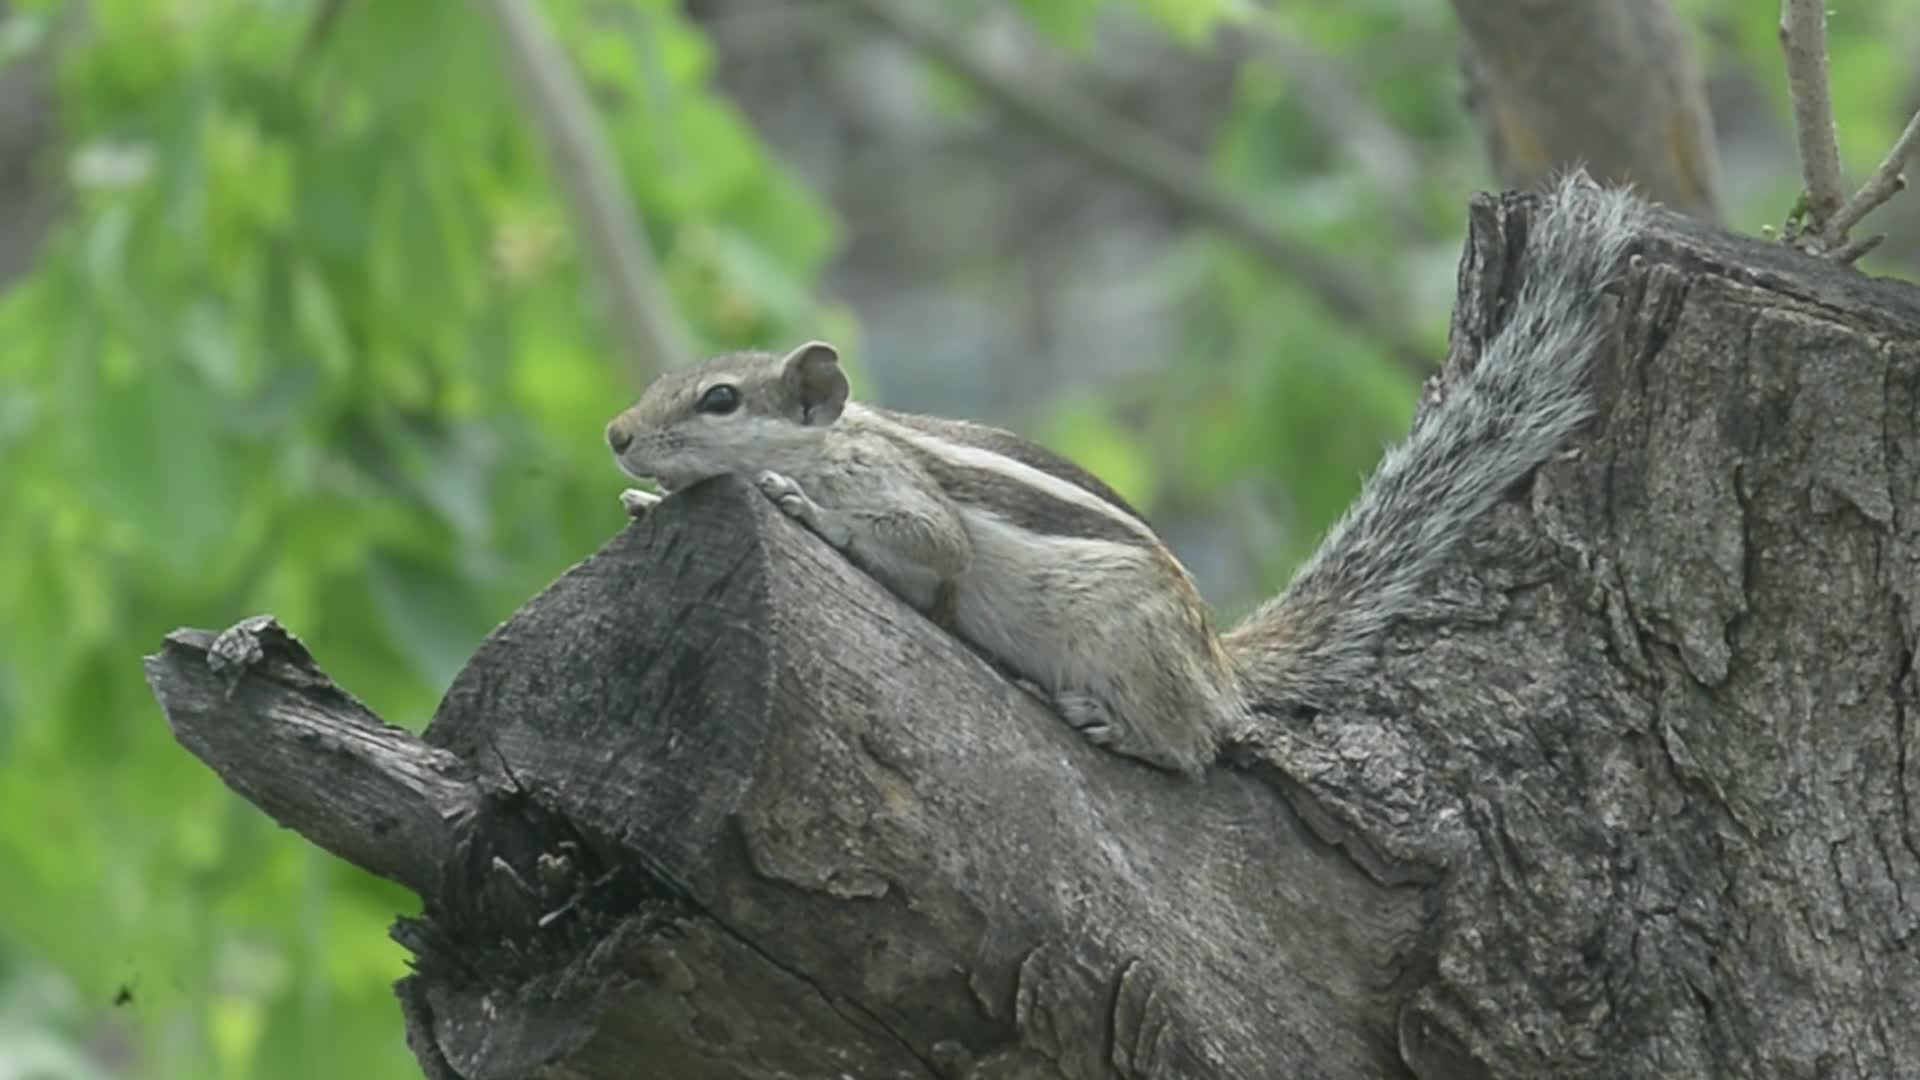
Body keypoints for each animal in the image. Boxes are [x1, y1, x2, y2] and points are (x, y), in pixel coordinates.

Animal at [603, 176, 1645, 776]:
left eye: (721, 401)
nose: (616, 435)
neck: (837, 438)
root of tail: (1215, 658)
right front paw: (644, 500)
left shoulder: (903, 496)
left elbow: (929, 547)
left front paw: (796, 506)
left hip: (1128, 646)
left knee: (1194, 749)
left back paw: (1123, 730)